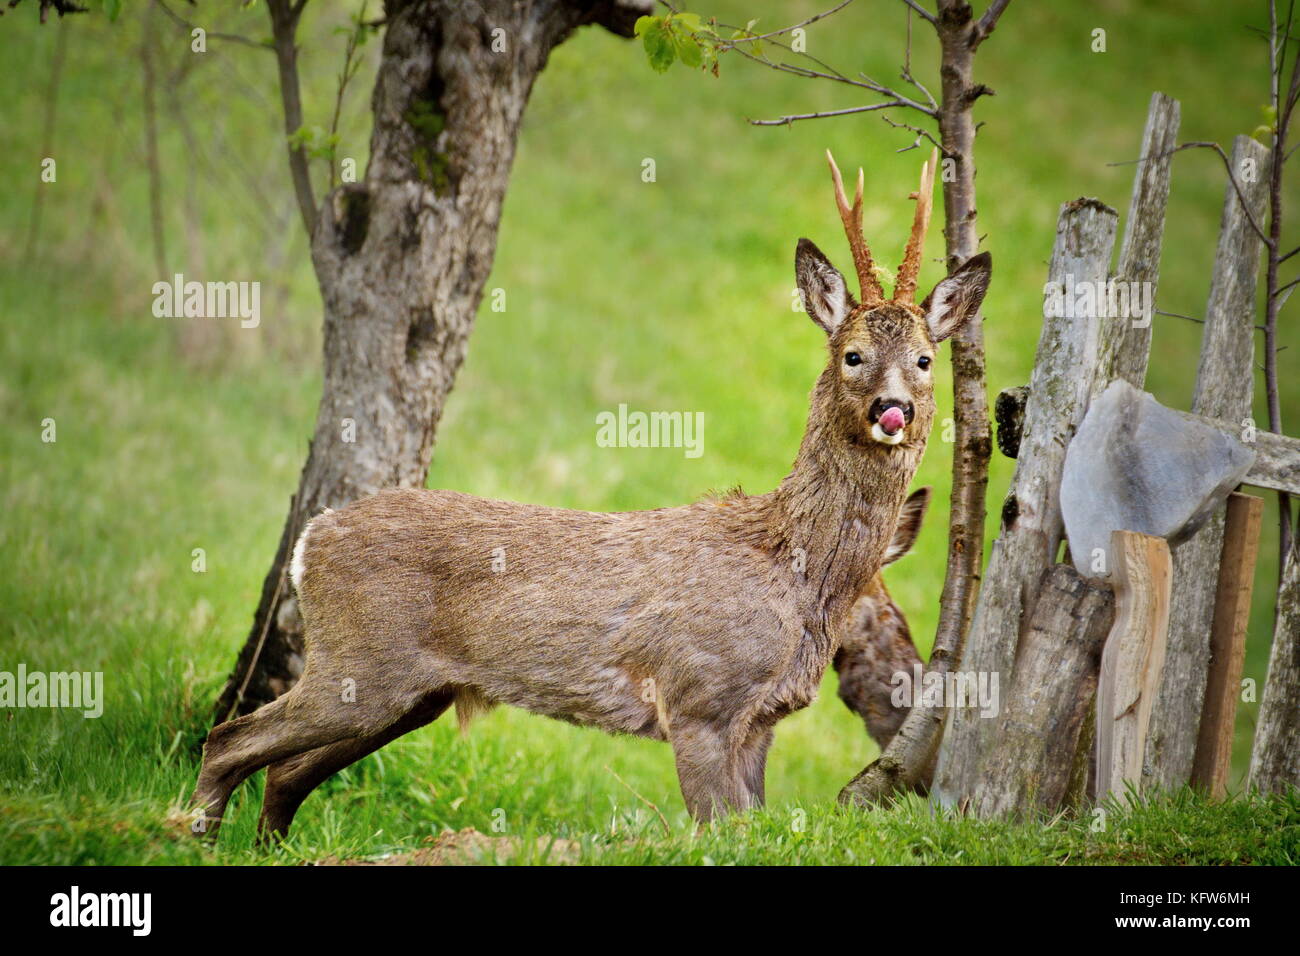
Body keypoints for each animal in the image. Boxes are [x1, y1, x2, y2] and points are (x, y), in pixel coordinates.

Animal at [187, 150, 990, 838]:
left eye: (926, 359)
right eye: (853, 354)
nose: (894, 409)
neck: (790, 563)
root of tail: (312, 537)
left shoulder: (761, 721)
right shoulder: (698, 698)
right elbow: (715, 828)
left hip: (404, 693)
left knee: (282, 772)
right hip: (359, 661)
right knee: (229, 738)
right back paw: (194, 835)